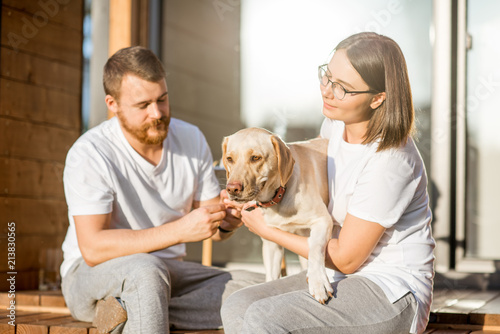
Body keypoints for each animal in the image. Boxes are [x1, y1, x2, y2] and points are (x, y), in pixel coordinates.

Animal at [222, 126, 332, 304]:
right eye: (229, 159)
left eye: (255, 158)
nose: (232, 189)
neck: (279, 194)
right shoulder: (271, 243)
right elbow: (272, 277)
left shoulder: (323, 221)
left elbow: (316, 249)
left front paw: (318, 282)